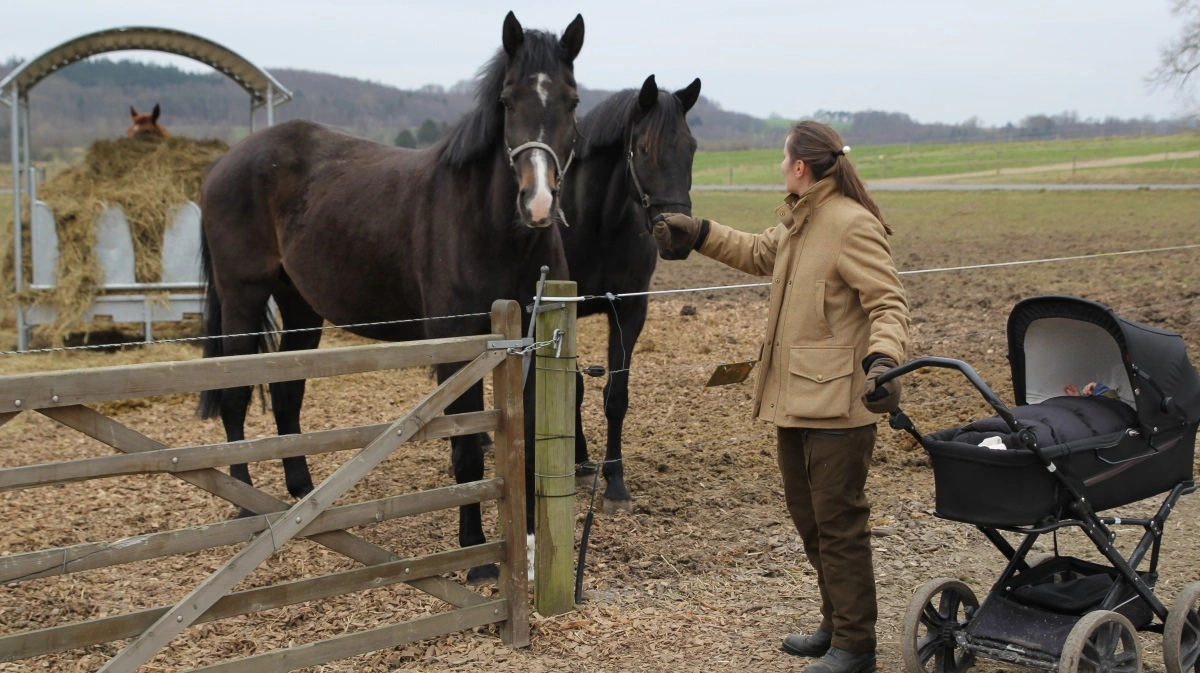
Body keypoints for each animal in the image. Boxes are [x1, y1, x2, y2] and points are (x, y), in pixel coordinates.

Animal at [199, 13, 583, 585]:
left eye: (572, 100)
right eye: (507, 100)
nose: (537, 203)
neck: (494, 232)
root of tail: (224, 162)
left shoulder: (533, 345)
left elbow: (531, 445)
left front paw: (533, 547)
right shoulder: (456, 348)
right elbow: (466, 451)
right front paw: (477, 557)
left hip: (300, 308)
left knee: (286, 396)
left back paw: (301, 496)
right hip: (242, 300)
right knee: (235, 395)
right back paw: (244, 500)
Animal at [561, 74, 700, 508]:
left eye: (691, 147)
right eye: (644, 149)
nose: (678, 235)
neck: (596, 225)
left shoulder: (630, 310)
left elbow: (615, 396)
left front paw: (614, 481)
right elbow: (573, 387)